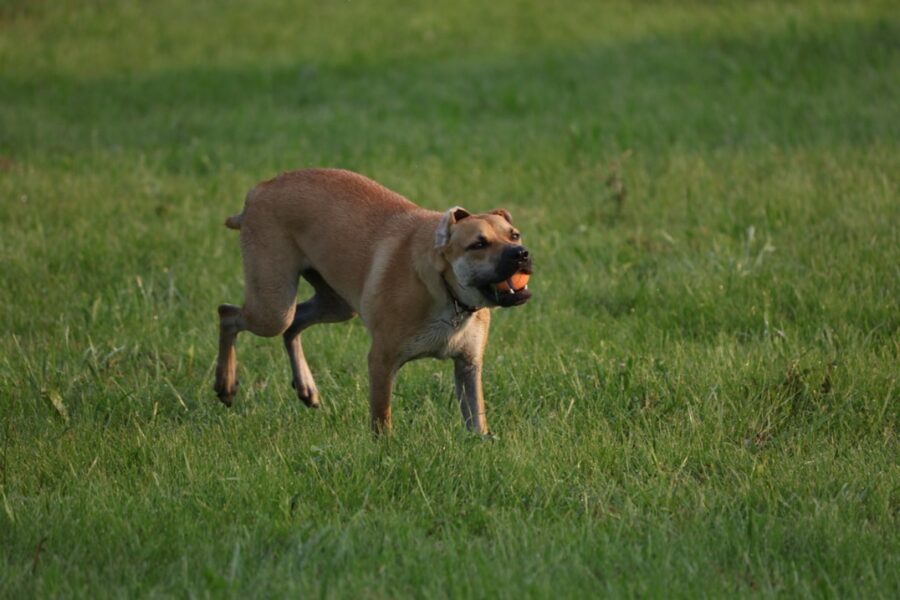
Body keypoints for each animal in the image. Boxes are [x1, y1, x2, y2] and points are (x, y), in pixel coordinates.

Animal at [214, 169, 532, 436]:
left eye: (514, 235)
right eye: (478, 244)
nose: (521, 254)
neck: (447, 293)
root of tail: (258, 191)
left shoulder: (468, 365)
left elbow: (476, 418)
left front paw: (481, 442)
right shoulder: (381, 360)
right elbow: (382, 418)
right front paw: (384, 449)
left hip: (337, 305)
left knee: (294, 326)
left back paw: (305, 386)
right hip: (273, 307)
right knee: (228, 314)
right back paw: (226, 383)